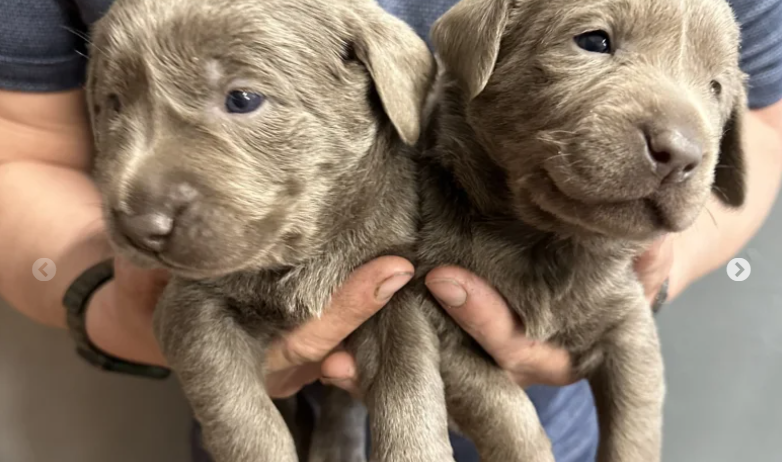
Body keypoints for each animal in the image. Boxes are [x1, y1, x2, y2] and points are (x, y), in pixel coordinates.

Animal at [86, 0, 450, 462]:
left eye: (243, 99)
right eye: (113, 104)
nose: (140, 225)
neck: (303, 249)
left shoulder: (395, 284)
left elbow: (409, 384)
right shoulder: (192, 305)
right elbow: (240, 413)